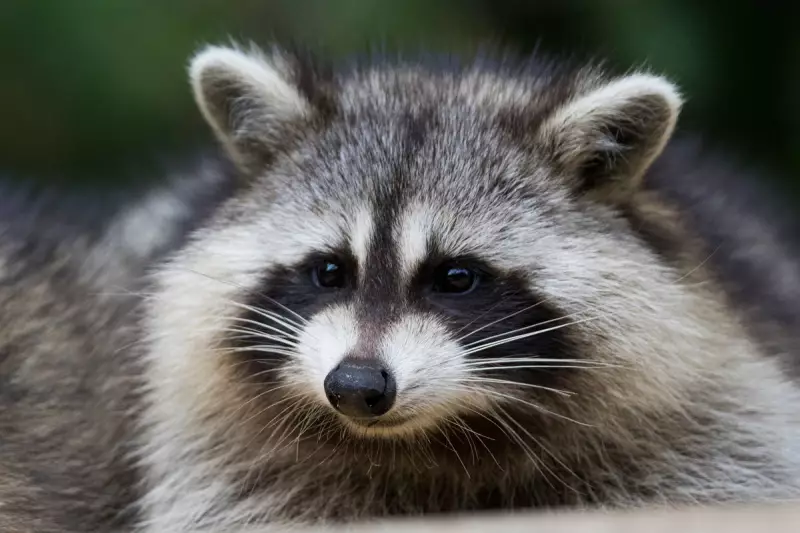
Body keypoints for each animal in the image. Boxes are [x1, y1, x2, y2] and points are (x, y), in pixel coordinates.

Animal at [2, 42, 800, 532]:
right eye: (329, 270)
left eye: (456, 277)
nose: (356, 385)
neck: (435, 440)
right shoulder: (229, 458)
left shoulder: (707, 418)